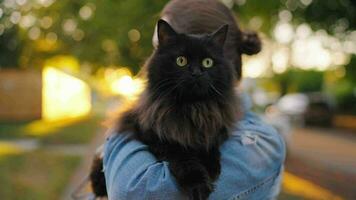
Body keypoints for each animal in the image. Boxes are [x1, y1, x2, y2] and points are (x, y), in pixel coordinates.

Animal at [89, 19, 241, 200]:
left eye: (207, 62)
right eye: (181, 61)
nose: (196, 73)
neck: (192, 108)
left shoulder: (215, 124)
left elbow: (210, 142)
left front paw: (211, 166)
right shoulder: (156, 137)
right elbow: (185, 159)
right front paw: (198, 184)